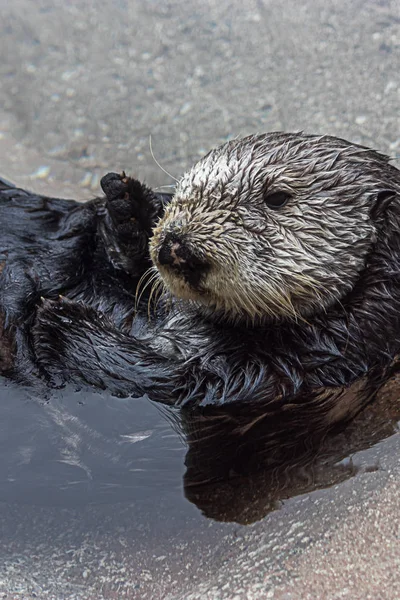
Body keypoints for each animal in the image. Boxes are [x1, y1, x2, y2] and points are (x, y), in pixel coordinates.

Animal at [0, 131, 400, 436]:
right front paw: (127, 208)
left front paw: (62, 322)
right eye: (181, 191)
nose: (175, 244)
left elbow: (169, 379)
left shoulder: (279, 376)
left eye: (277, 198)